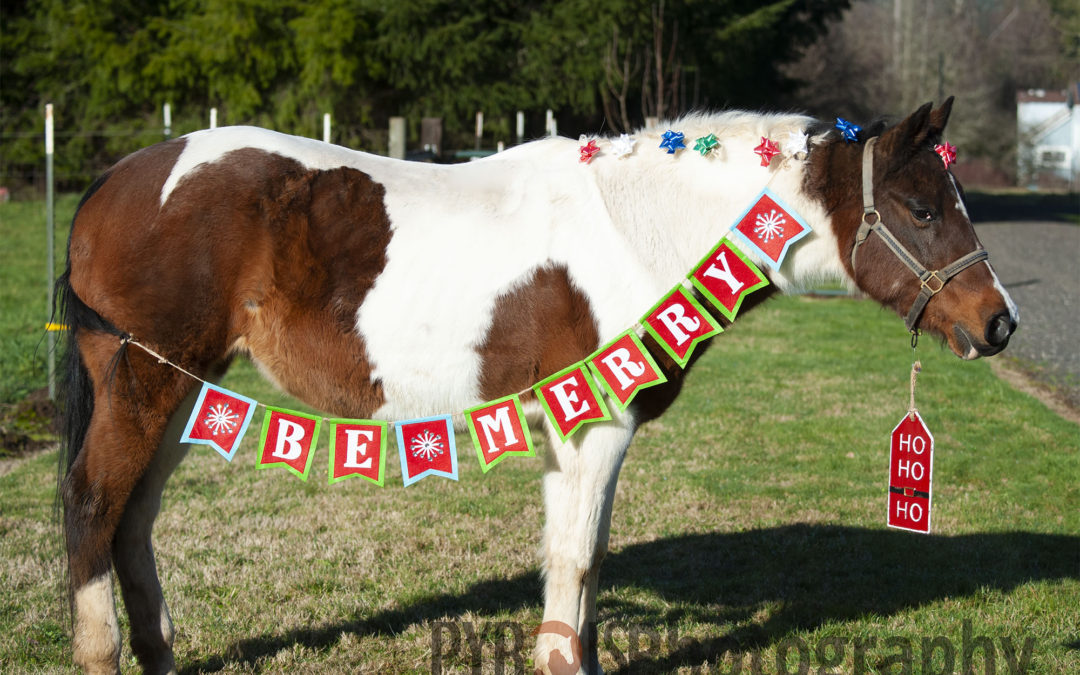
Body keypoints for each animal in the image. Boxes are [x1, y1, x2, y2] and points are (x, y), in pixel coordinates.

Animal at [52, 97, 1010, 669]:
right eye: (924, 209)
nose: (1000, 322)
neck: (636, 230)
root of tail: (118, 178)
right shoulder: (598, 427)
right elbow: (578, 552)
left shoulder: (569, 430)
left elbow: (578, 555)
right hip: (145, 380)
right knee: (95, 502)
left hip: (187, 387)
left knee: (132, 518)